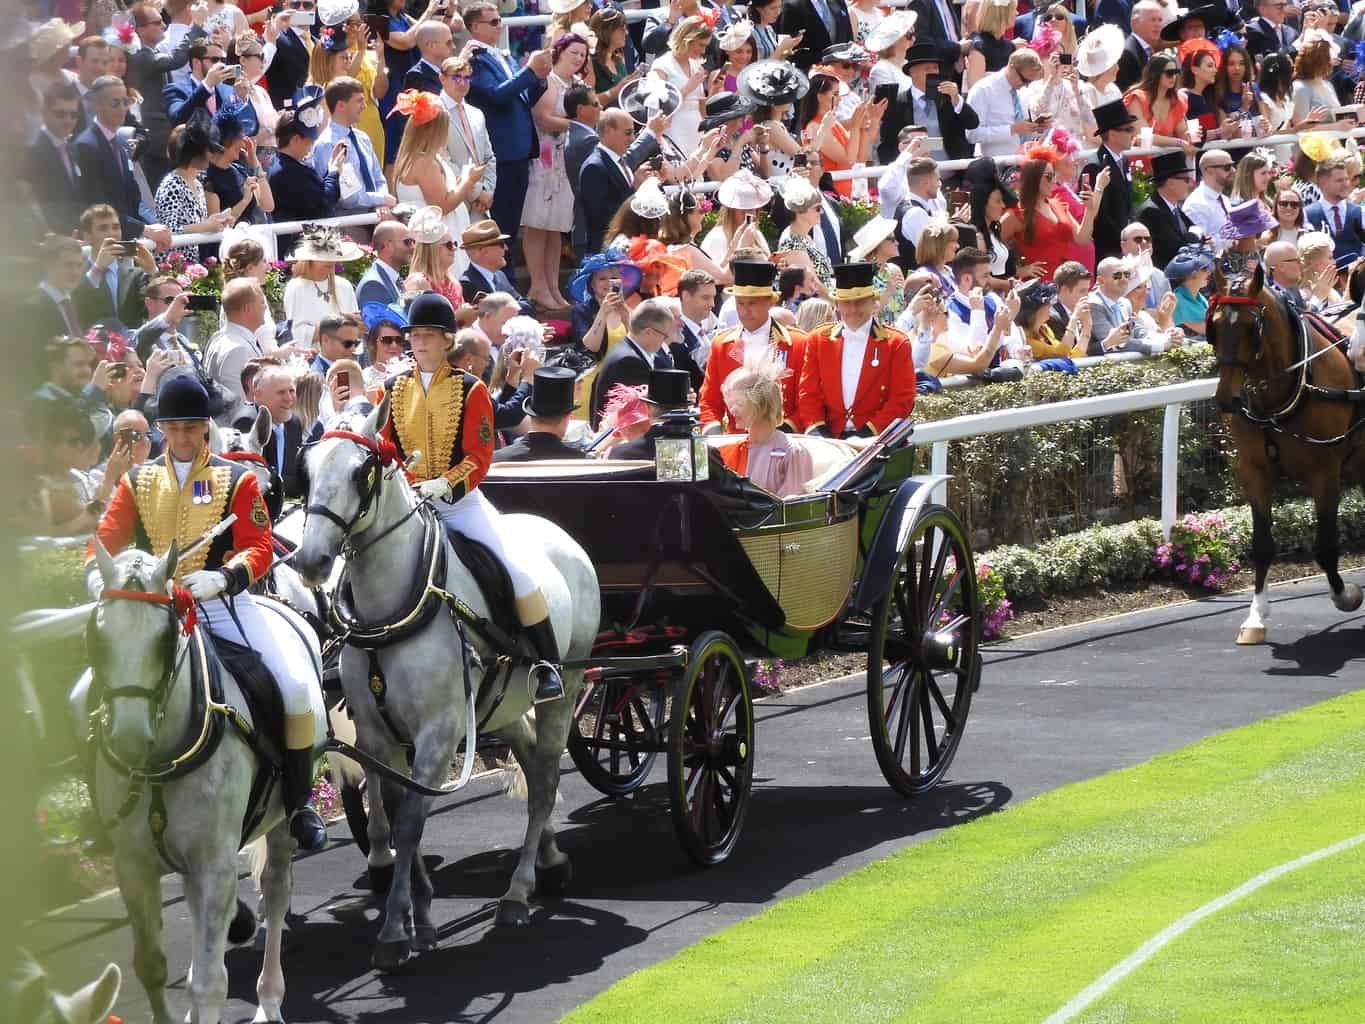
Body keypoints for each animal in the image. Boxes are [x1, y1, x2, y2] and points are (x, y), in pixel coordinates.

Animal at [293, 398, 597, 972]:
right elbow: (394, 812)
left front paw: (396, 929)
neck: (392, 609)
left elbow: (413, 820)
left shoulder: (438, 730)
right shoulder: (378, 734)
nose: (311, 561)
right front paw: (421, 914)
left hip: (563, 689)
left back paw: (518, 892)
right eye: (307, 469)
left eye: (360, 471)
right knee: (531, 767)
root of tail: (560, 536)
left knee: (546, 779)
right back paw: (548, 860)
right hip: (500, 707)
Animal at [1212, 268, 1359, 644]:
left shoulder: (1325, 472)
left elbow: (1325, 546)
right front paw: (1255, 617)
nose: (1227, 399)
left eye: (1252, 327)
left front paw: (1345, 595)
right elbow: (1263, 544)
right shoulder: (1255, 469)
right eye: (1213, 324)